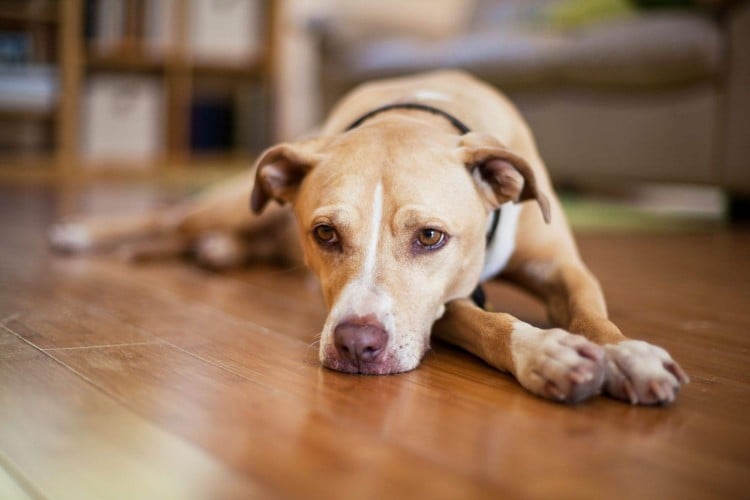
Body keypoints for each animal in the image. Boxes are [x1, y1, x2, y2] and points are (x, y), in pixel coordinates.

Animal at [50, 70, 692, 404]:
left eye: (431, 237)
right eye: (325, 233)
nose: (357, 346)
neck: (415, 113)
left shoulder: (562, 268)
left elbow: (593, 313)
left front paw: (629, 357)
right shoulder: (442, 306)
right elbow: (489, 323)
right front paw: (547, 352)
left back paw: (214, 253)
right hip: (235, 206)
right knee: (170, 218)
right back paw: (82, 232)